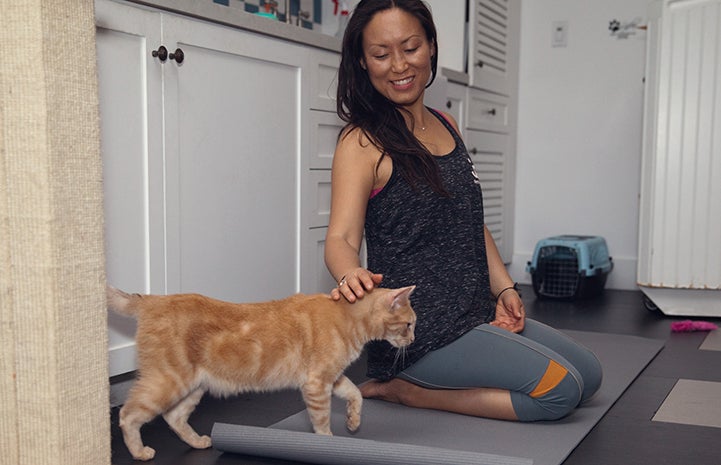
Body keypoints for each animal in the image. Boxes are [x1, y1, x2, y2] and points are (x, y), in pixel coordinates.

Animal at [104, 284, 414, 458]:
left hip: (193, 386)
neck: (347, 316)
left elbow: (356, 395)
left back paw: (199, 442)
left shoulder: (333, 378)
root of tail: (151, 299)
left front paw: (353, 422)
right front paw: (327, 445)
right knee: (128, 415)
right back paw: (139, 452)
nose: (412, 340)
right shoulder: (317, 384)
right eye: (410, 324)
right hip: (168, 380)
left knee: (173, 417)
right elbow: (322, 421)